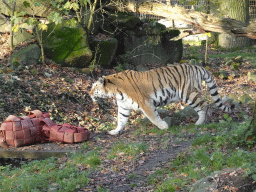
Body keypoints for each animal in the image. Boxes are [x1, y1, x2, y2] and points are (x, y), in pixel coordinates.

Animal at [89, 63, 234, 135]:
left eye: (94, 87)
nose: (89, 94)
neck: (115, 91)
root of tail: (198, 66)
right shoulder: (124, 106)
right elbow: (121, 121)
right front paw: (114, 132)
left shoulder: (145, 103)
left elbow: (153, 117)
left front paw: (164, 126)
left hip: (188, 93)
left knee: (204, 106)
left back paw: (199, 123)